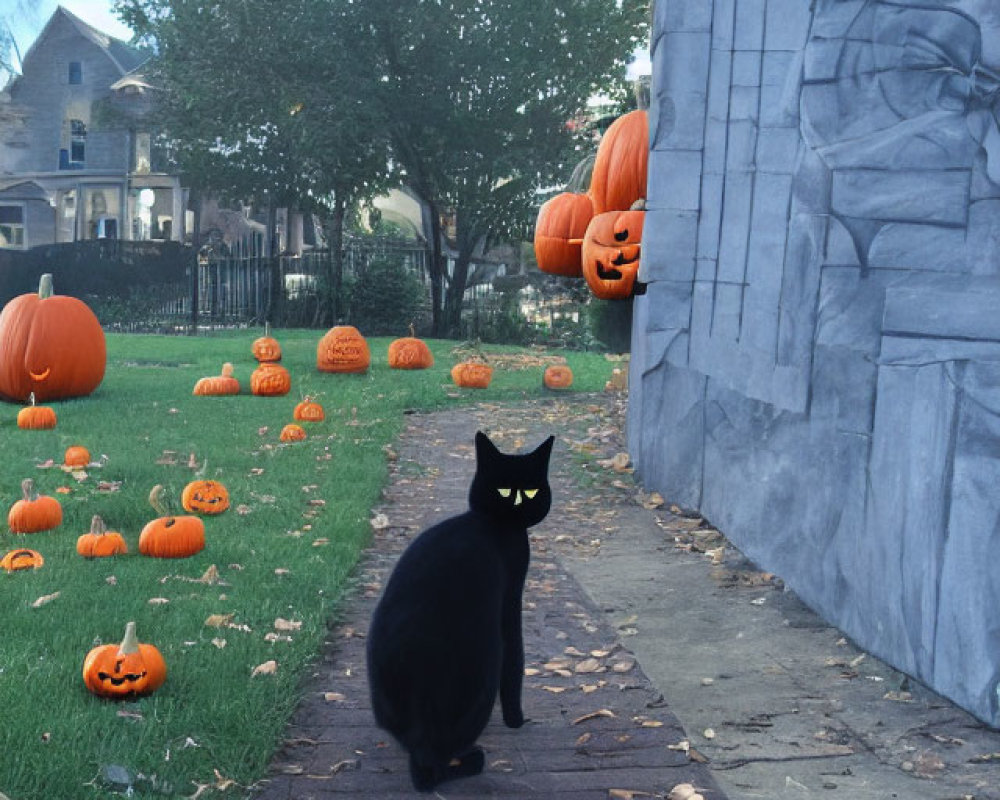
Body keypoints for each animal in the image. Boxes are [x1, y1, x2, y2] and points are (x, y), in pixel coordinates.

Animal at [368, 428, 556, 792]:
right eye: (505, 490)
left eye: (529, 490)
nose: (518, 504)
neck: (493, 522)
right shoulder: (512, 595)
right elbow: (517, 661)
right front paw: (516, 720)